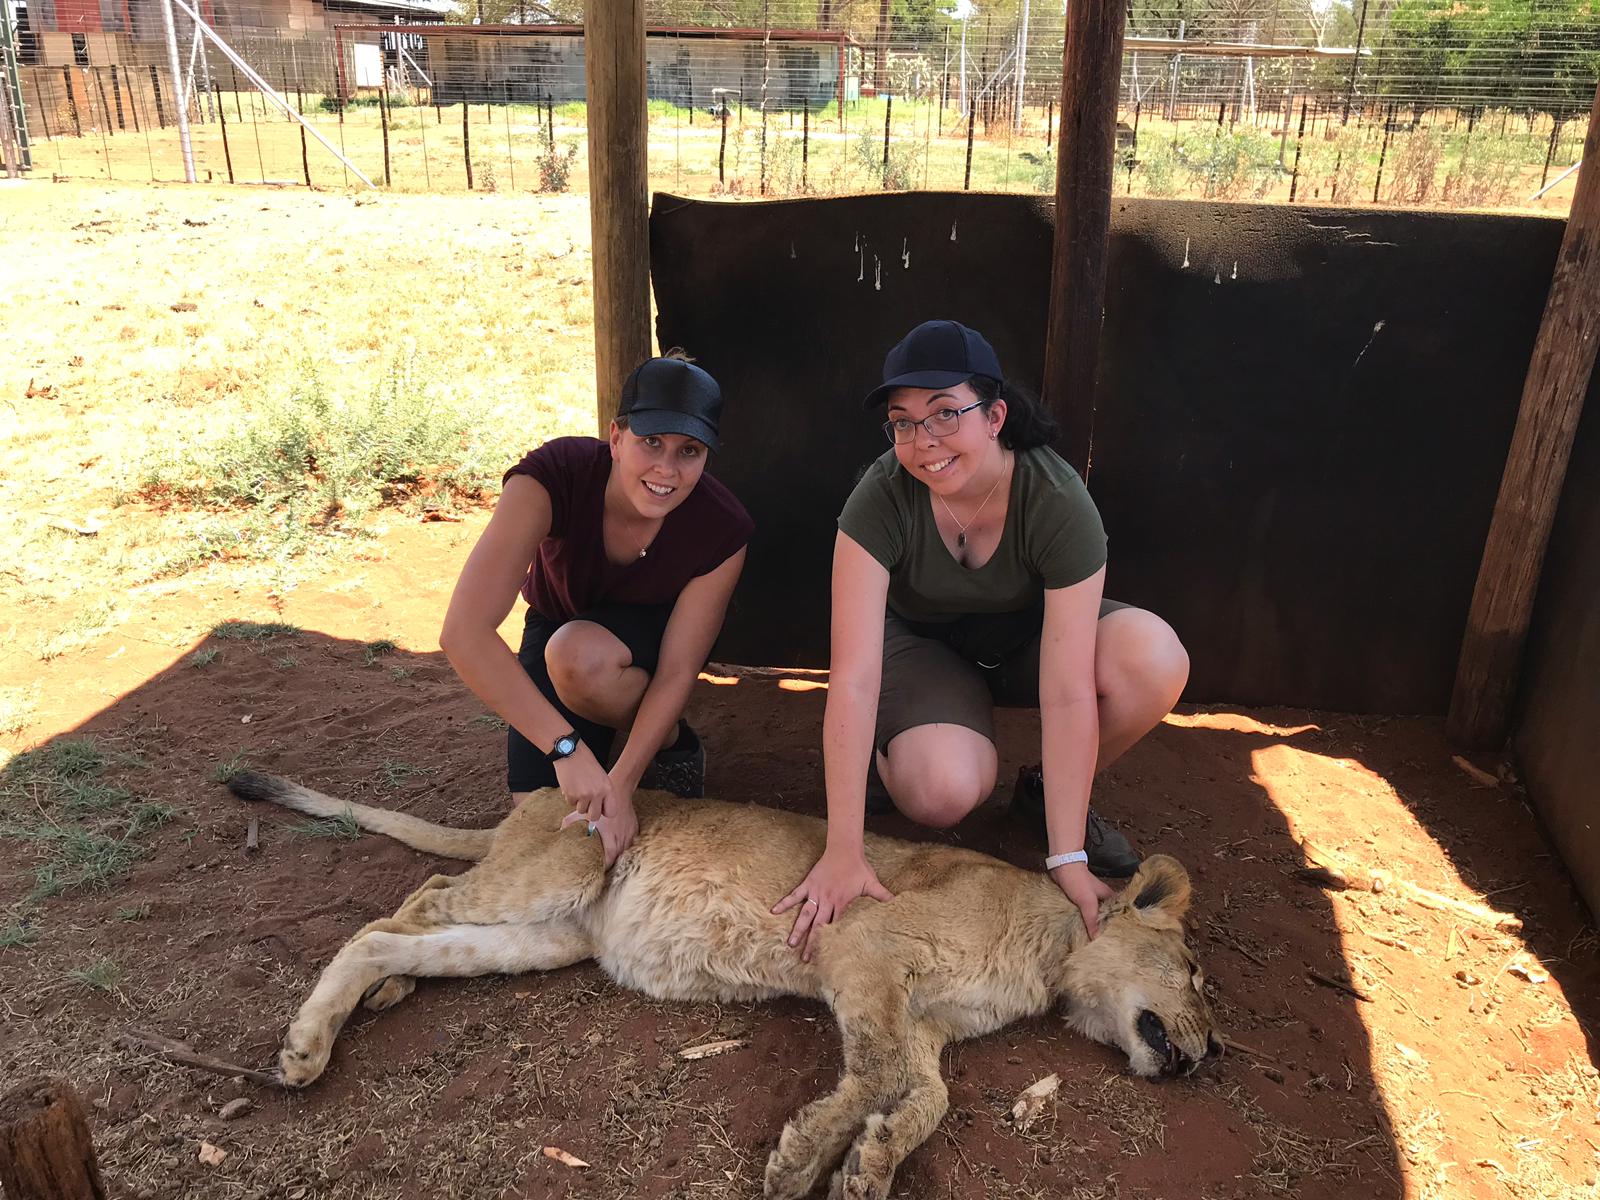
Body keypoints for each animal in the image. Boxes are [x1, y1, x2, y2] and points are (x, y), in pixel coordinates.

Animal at [229, 772, 1222, 1200]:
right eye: (1196, 973)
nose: (1213, 1052)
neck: (1048, 954)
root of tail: (539, 797)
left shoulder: (921, 1023)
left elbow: (925, 1097)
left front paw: (870, 1164)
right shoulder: (856, 945)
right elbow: (872, 1073)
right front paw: (806, 1158)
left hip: (548, 938)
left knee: (402, 936)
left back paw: (338, 1027)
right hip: (555, 871)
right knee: (410, 903)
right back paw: (311, 1040)